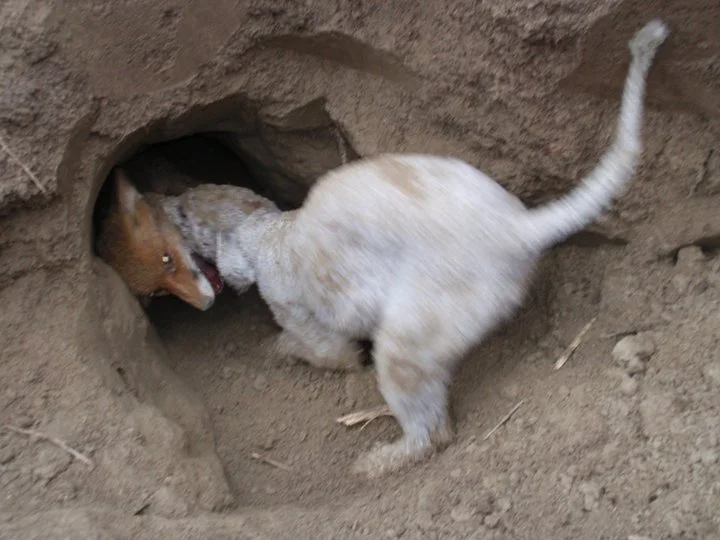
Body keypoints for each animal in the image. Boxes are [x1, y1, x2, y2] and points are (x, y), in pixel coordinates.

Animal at [160, 21, 668, 476]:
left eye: (184, 215)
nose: (163, 201)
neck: (264, 231)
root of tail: (516, 227)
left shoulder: (304, 317)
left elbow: (326, 353)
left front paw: (278, 351)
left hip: (417, 329)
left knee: (432, 430)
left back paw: (379, 461)